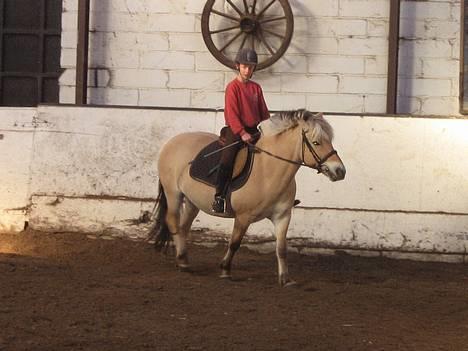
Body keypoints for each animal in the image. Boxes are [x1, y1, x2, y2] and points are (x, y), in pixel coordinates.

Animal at [148, 110, 346, 288]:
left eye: (329, 141)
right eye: (316, 142)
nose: (340, 171)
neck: (269, 170)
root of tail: (172, 141)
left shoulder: (283, 216)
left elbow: (282, 248)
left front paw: (285, 279)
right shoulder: (244, 217)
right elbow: (235, 243)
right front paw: (225, 270)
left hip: (191, 201)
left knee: (183, 227)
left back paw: (184, 260)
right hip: (173, 194)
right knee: (173, 222)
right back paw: (182, 261)